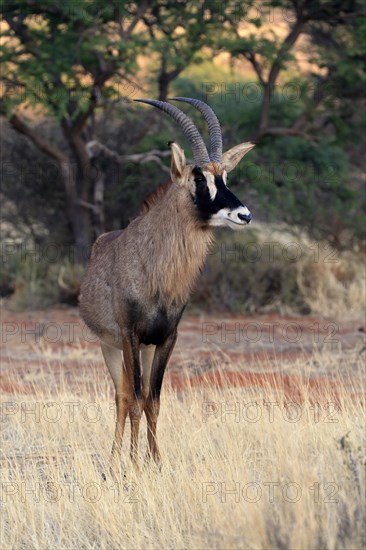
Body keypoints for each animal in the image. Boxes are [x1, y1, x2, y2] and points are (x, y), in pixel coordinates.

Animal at [78, 97, 253, 472]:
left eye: (225, 175)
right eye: (199, 178)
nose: (244, 215)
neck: (154, 269)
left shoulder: (166, 339)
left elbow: (153, 401)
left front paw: (156, 462)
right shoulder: (129, 337)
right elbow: (134, 399)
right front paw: (133, 465)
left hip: (141, 348)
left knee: (136, 395)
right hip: (111, 346)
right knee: (122, 395)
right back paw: (114, 462)